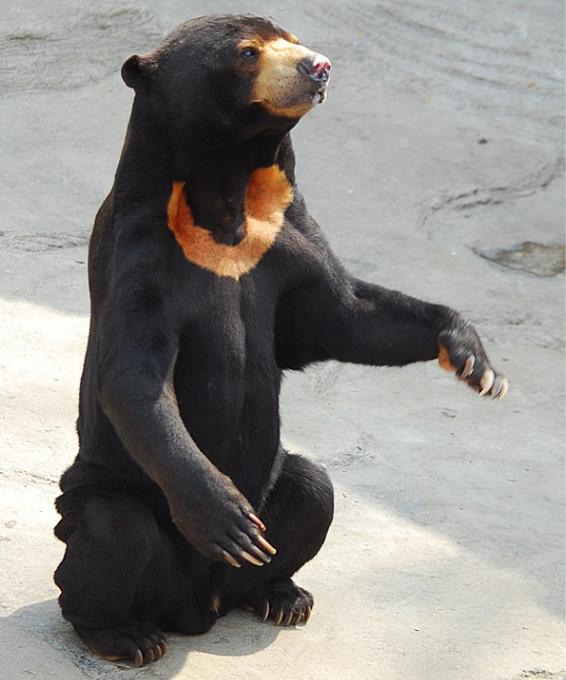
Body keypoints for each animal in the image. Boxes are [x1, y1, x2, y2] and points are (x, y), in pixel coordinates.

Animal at [53, 14, 508, 667]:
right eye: (248, 53)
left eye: (293, 38)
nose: (320, 66)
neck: (227, 191)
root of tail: (199, 608)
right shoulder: (139, 249)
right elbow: (133, 377)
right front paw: (226, 517)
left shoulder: (285, 237)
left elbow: (348, 316)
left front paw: (476, 362)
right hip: (106, 499)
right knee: (111, 530)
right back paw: (125, 634)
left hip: (269, 501)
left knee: (314, 489)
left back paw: (281, 594)